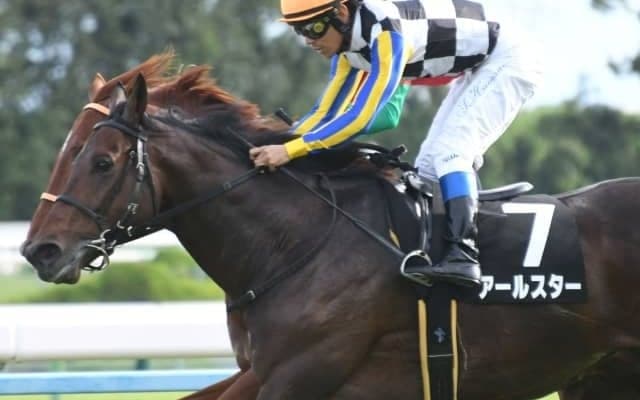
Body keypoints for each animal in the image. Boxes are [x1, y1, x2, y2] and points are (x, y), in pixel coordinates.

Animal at [22, 70, 640, 399]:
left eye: (102, 161)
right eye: (65, 153)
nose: (38, 251)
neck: (294, 242)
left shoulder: (296, 375)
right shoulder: (261, 373)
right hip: (600, 373)